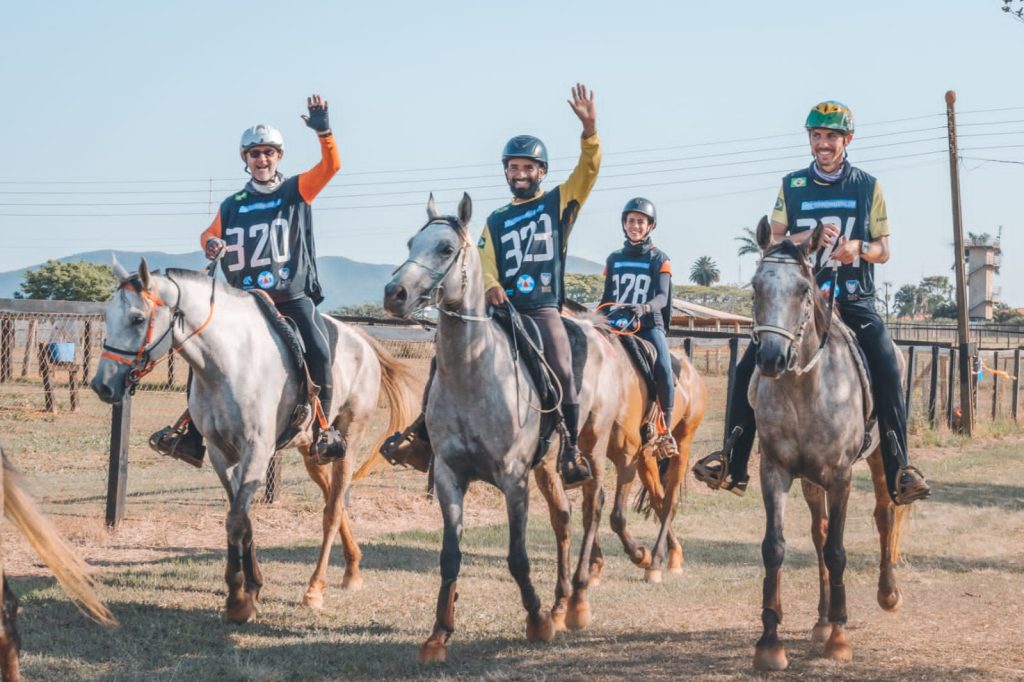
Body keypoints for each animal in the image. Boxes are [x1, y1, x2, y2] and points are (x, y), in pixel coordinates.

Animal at [91, 258, 415, 618]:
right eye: (108, 316)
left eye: (137, 318)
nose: (102, 385)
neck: (229, 361)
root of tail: (362, 341)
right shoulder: (221, 453)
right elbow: (242, 519)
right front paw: (253, 587)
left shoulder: (257, 450)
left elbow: (236, 520)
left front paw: (237, 602)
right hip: (311, 451)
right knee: (332, 494)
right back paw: (353, 569)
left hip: (349, 437)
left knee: (332, 510)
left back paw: (315, 590)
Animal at [385, 193, 634, 659]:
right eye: (410, 242)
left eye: (446, 248)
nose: (395, 293)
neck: (474, 374)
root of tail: (597, 332)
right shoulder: (449, 476)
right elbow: (450, 555)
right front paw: (439, 633)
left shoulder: (513, 479)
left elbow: (517, 556)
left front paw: (535, 620)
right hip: (547, 465)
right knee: (563, 517)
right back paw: (559, 603)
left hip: (591, 449)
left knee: (591, 508)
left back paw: (576, 601)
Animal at [749, 219, 909, 667]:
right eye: (755, 286)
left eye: (804, 289)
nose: (771, 359)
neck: (805, 387)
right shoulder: (775, 471)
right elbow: (775, 547)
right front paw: (770, 642)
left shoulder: (840, 476)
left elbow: (838, 551)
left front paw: (839, 637)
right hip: (809, 478)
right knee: (818, 532)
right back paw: (820, 621)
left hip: (879, 459)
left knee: (884, 513)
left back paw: (886, 594)